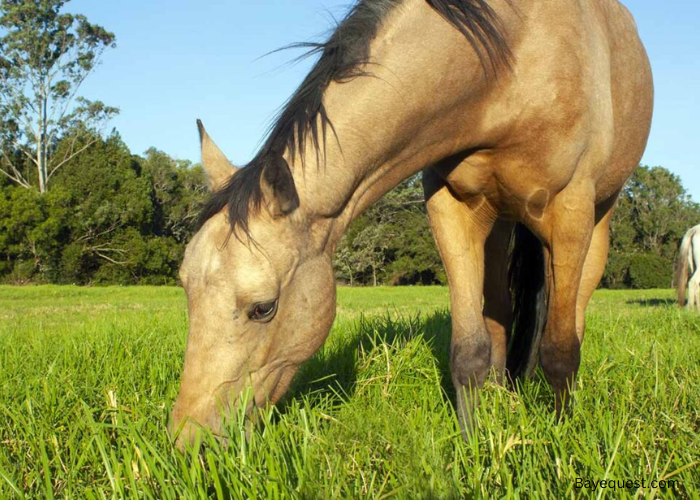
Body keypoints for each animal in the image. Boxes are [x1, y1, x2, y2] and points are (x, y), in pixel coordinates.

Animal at [170, 0, 653, 446]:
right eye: (185, 288)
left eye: (263, 307)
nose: (189, 441)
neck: (511, 63)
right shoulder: (450, 207)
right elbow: (468, 351)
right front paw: (472, 447)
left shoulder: (571, 210)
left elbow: (560, 350)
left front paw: (560, 439)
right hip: (498, 226)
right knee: (498, 314)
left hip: (597, 220)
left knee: (573, 317)